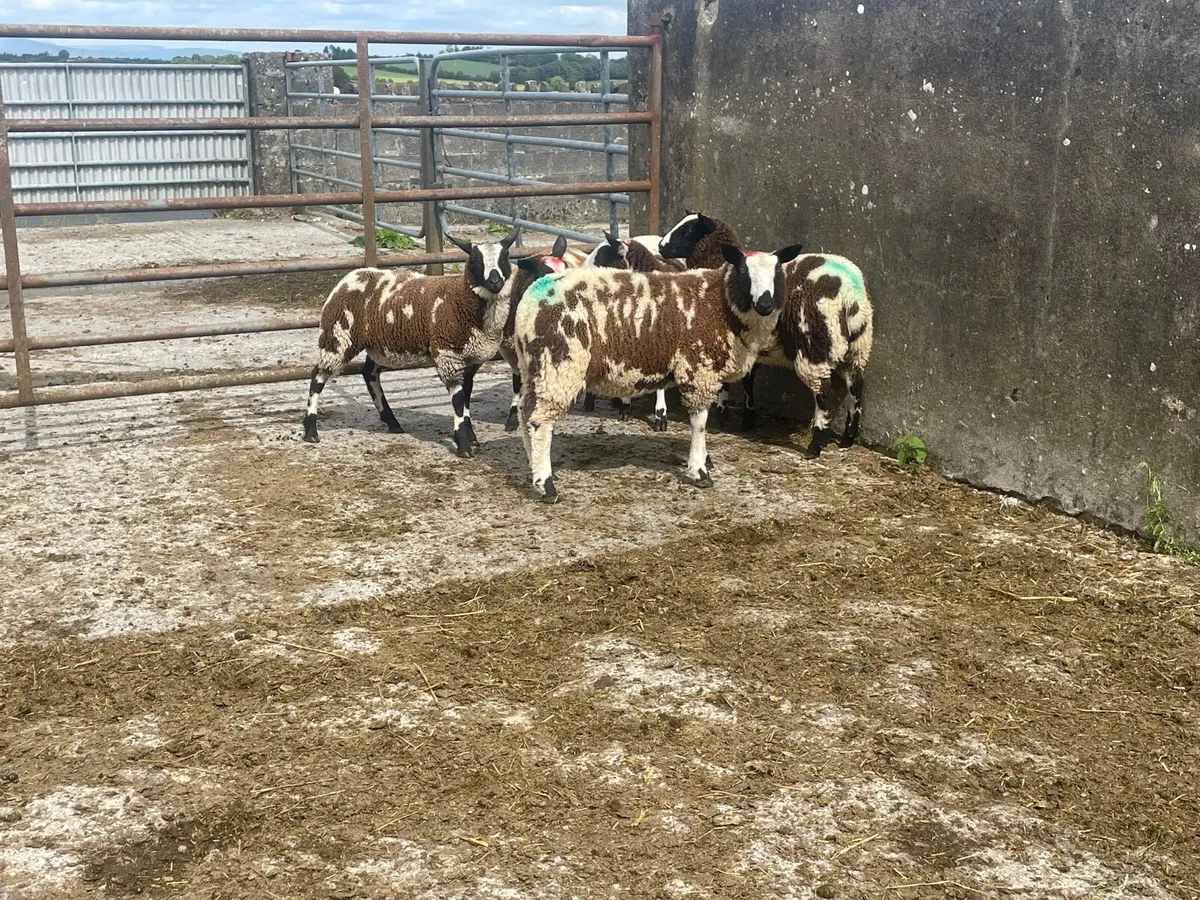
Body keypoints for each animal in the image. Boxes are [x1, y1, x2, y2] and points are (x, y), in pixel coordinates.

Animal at [301, 228, 520, 458]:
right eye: (476, 260)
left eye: (504, 256)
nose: (495, 282)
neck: (462, 298)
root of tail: (350, 277)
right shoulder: (447, 354)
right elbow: (459, 401)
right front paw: (463, 445)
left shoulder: (470, 359)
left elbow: (466, 396)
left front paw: (471, 437)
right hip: (338, 336)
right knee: (318, 376)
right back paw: (311, 431)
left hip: (379, 345)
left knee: (369, 373)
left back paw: (392, 422)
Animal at [514, 242, 804, 501]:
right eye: (744, 270)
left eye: (777, 270)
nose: (765, 303)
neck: (720, 302)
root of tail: (528, 305)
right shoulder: (698, 368)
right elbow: (700, 422)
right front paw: (699, 470)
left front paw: (704, 460)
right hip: (560, 364)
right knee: (538, 421)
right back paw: (546, 485)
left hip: (533, 368)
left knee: (524, 414)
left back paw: (534, 471)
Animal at [659, 210, 874, 456]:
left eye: (688, 230)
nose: (661, 246)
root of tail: (849, 293)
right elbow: (748, 381)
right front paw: (747, 420)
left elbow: (729, 383)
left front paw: (721, 418)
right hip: (857, 347)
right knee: (856, 386)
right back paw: (848, 438)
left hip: (815, 346)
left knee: (823, 392)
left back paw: (815, 445)